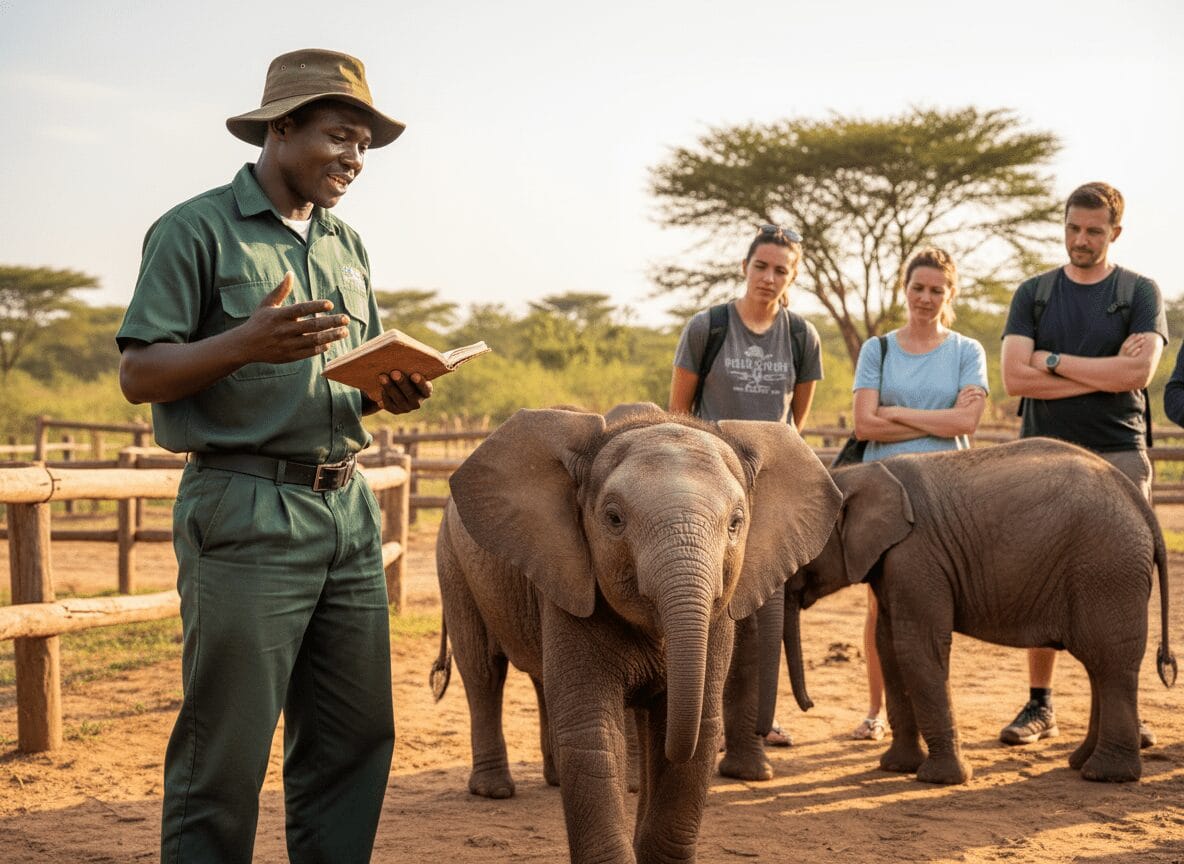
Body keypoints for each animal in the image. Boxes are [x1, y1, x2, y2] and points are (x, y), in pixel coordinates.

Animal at [430, 404, 840, 863]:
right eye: (613, 519)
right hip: (452, 564)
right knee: (483, 672)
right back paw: (494, 791)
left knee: (540, 681)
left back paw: (554, 779)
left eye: (736, 523)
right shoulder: (576, 576)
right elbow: (591, 728)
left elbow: (696, 723)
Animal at [787, 436, 1176, 785]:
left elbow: (917, 648)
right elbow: (888, 646)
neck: (856, 474)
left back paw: (1104, 775)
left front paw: (939, 780)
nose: (810, 705)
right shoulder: (891, 564)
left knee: (1110, 662)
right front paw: (896, 768)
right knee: (1099, 663)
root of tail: (1140, 503)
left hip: (1107, 568)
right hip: (1105, 571)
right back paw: (1080, 764)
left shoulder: (918, 556)